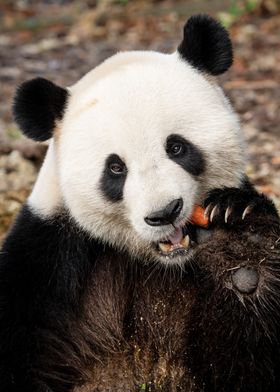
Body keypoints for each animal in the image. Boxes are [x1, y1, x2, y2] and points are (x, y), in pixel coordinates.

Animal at [0, 13, 280, 392]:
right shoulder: (46, 265)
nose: (164, 213)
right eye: (116, 168)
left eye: (176, 147)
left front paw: (241, 240)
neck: (157, 263)